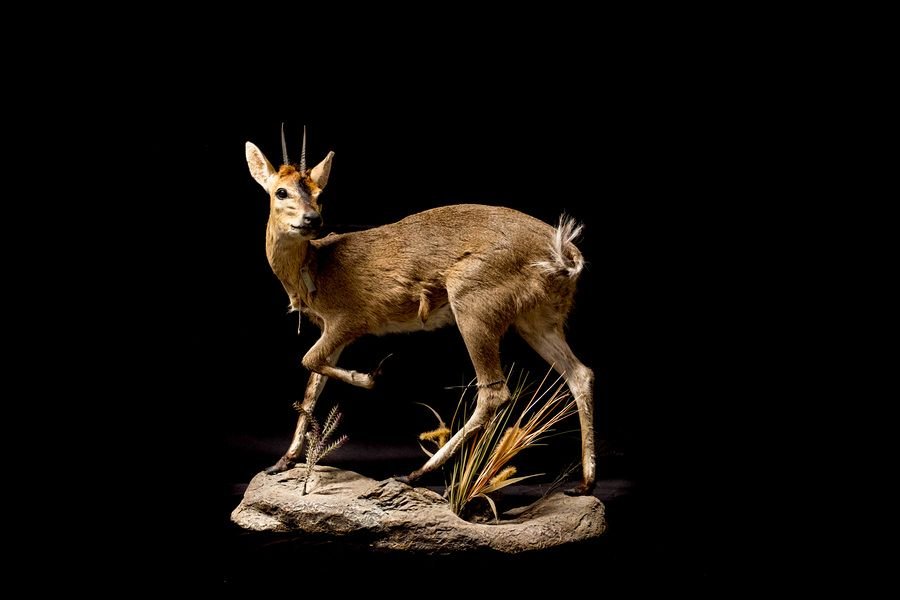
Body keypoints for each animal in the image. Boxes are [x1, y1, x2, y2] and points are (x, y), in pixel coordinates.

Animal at [245, 125, 597, 495]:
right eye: (281, 191)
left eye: (319, 193)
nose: (313, 219)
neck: (317, 266)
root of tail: (564, 250)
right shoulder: (333, 329)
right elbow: (312, 388)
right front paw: (282, 461)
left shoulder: (350, 318)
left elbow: (308, 360)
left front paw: (371, 375)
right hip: (538, 318)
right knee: (580, 374)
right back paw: (584, 483)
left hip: (474, 304)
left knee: (495, 392)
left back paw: (415, 474)